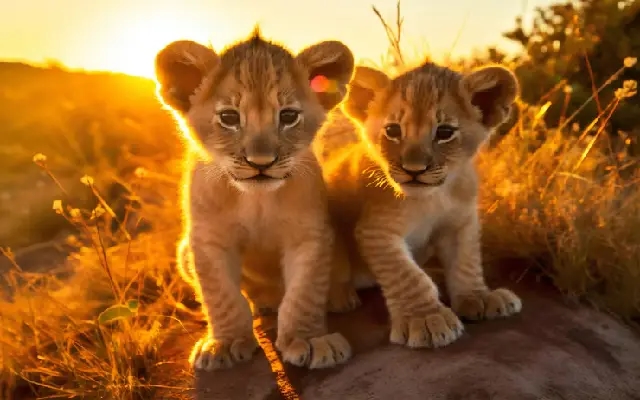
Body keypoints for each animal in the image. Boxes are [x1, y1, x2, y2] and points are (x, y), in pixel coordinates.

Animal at [154, 29, 355, 370]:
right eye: (229, 117)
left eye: (288, 116)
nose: (261, 162)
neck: (256, 199)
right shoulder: (208, 239)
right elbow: (221, 296)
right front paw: (224, 344)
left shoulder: (309, 234)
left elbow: (305, 292)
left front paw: (309, 340)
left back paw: (341, 297)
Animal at [320, 60, 523, 349]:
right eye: (393, 131)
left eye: (445, 132)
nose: (414, 170)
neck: (433, 198)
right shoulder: (375, 231)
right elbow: (407, 275)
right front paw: (426, 319)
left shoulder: (461, 223)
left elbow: (467, 262)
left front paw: (480, 297)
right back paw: (341, 297)